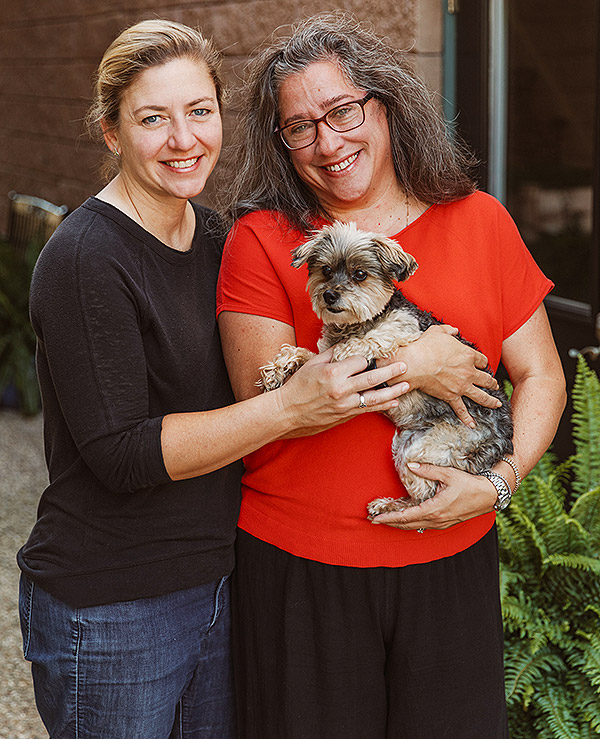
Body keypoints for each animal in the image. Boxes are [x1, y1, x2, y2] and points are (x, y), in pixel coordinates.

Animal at [260, 223, 512, 516]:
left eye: (360, 274)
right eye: (326, 270)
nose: (329, 294)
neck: (355, 324)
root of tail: (505, 441)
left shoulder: (405, 329)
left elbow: (376, 337)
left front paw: (349, 349)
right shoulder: (320, 357)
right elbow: (302, 354)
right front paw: (278, 369)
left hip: (428, 448)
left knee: (427, 495)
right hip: (406, 445)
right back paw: (389, 506)